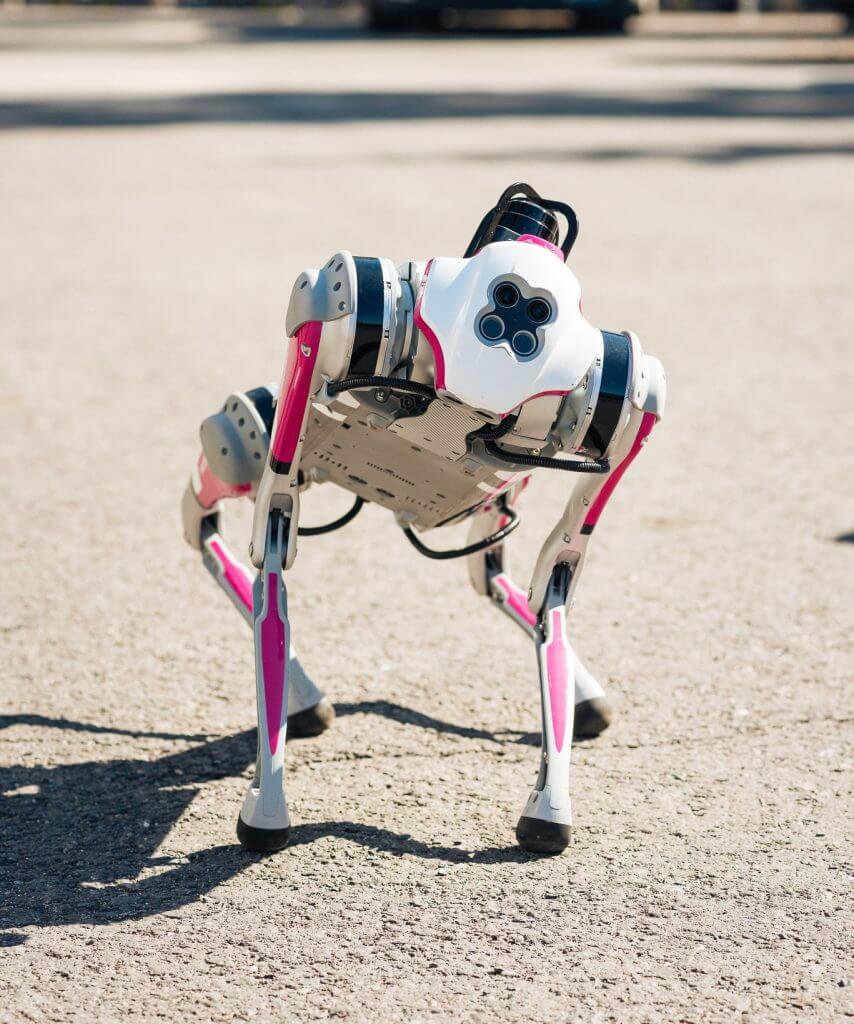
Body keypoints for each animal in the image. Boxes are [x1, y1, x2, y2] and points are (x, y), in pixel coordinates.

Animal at [180, 186, 663, 856]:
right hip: (274, 434)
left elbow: (560, 571)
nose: (515, 323)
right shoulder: (338, 305)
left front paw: (550, 805)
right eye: (510, 303)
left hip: (491, 501)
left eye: (531, 311)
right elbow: (274, 539)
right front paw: (266, 807)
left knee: (491, 567)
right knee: (231, 458)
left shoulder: (628, 395)